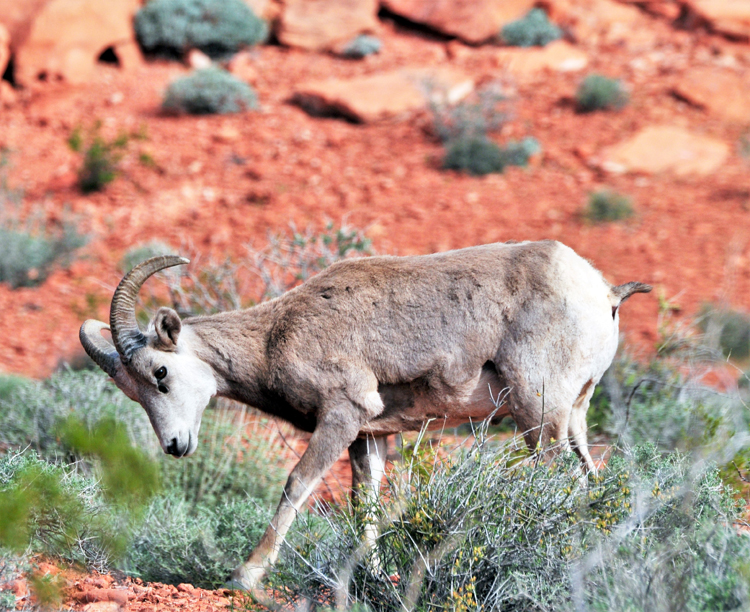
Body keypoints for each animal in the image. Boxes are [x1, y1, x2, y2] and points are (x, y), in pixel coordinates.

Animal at [79, 239, 648, 588]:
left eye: (160, 373)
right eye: (133, 392)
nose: (175, 446)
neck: (277, 335)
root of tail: (604, 293)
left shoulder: (342, 415)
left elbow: (298, 485)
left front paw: (244, 578)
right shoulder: (368, 437)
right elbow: (365, 506)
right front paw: (370, 577)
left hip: (538, 414)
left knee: (561, 484)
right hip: (572, 417)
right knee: (590, 481)